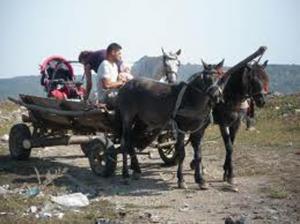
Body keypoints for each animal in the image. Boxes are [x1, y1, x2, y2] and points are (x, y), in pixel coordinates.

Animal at [117, 59, 225, 187]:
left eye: (220, 77)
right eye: (206, 78)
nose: (216, 96)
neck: (191, 98)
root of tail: (125, 85)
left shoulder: (199, 130)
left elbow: (198, 154)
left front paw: (200, 179)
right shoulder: (181, 128)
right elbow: (181, 153)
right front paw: (181, 179)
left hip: (140, 122)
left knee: (132, 142)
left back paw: (136, 169)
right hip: (127, 119)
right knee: (125, 143)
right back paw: (125, 174)